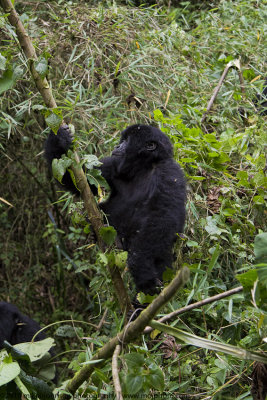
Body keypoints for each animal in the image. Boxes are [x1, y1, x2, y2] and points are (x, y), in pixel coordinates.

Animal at [45, 123, 187, 296]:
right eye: (123, 139)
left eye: (127, 141)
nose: (117, 146)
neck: (144, 166)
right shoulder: (113, 164)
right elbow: (79, 179)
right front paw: (59, 138)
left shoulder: (169, 172)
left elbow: (162, 216)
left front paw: (141, 268)